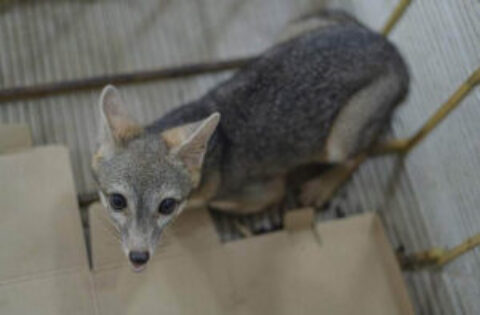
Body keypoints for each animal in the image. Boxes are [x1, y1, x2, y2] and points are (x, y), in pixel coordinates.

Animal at [91, 11, 408, 270]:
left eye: (167, 206)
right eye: (117, 201)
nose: (138, 258)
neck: (214, 156)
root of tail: (393, 51)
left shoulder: (266, 190)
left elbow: (235, 200)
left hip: (338, 142)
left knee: (363, 151)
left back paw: (322, 185)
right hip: (292, 31)